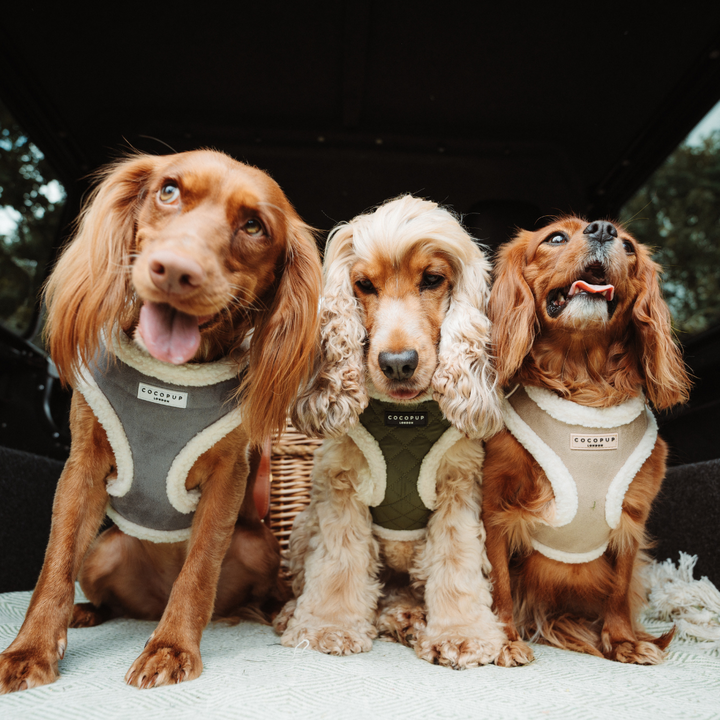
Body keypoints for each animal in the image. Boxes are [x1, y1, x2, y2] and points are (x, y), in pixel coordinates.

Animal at [0, 148, 320, 692]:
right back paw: (86, 612)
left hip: (257, 545)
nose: (175, 270)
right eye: (168, 191)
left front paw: (171, 648)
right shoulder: (81, 467)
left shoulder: (228, 479)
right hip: (104, 552)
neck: (172, 377)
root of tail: (149, 606)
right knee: (102, 596)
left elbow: (198, 570)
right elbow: (54, 566)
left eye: (254, 226)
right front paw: (30, 650)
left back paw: (273, 613)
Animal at [484, 217, 692, 668]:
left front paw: (623, 641)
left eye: (629, 247)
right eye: (555, 238)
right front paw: (503, 639)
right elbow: (499, 586)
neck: (584, 386)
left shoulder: (630, 518)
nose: (603, 230)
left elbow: (620, 588)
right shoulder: (495, 512)